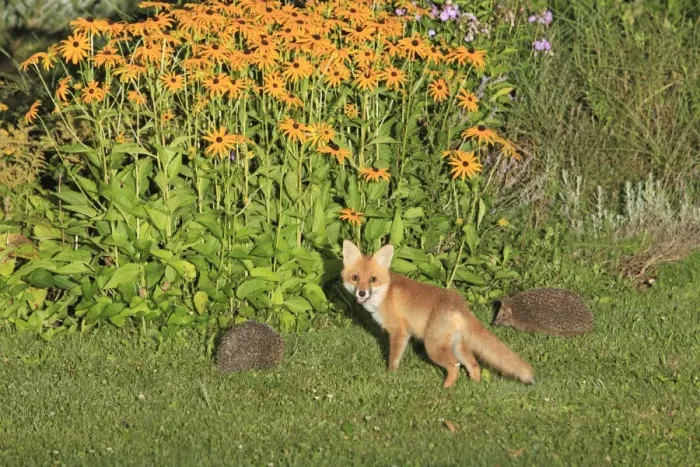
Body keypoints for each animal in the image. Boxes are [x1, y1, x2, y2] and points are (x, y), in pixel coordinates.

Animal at [341, 240, 535, 387]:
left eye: (373, 279)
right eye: (355, 278)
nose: (361, 293)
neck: (385, 294)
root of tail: (459, 302)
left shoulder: (400, 332)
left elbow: (394, 359)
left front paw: (389, 375)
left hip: (433, 347)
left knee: (455, 366)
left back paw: (446, 388)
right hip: (456, 345)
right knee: (473, 364)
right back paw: (475, 385)